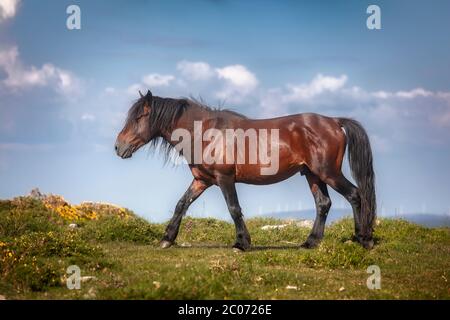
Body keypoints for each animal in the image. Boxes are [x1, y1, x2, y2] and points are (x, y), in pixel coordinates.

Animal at [115, 90, 376, 250]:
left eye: (139, 117)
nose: (118, 147)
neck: (206, 133)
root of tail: (333, 121)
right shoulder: (201, 181)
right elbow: (182, 204)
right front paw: (167, 239)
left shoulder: (225, 179)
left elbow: (234, 209)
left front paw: (242, 243)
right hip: (313, 175)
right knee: (323, 204)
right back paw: (310, 242)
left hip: (328, 173)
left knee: (355, 195)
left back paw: (362, 238)